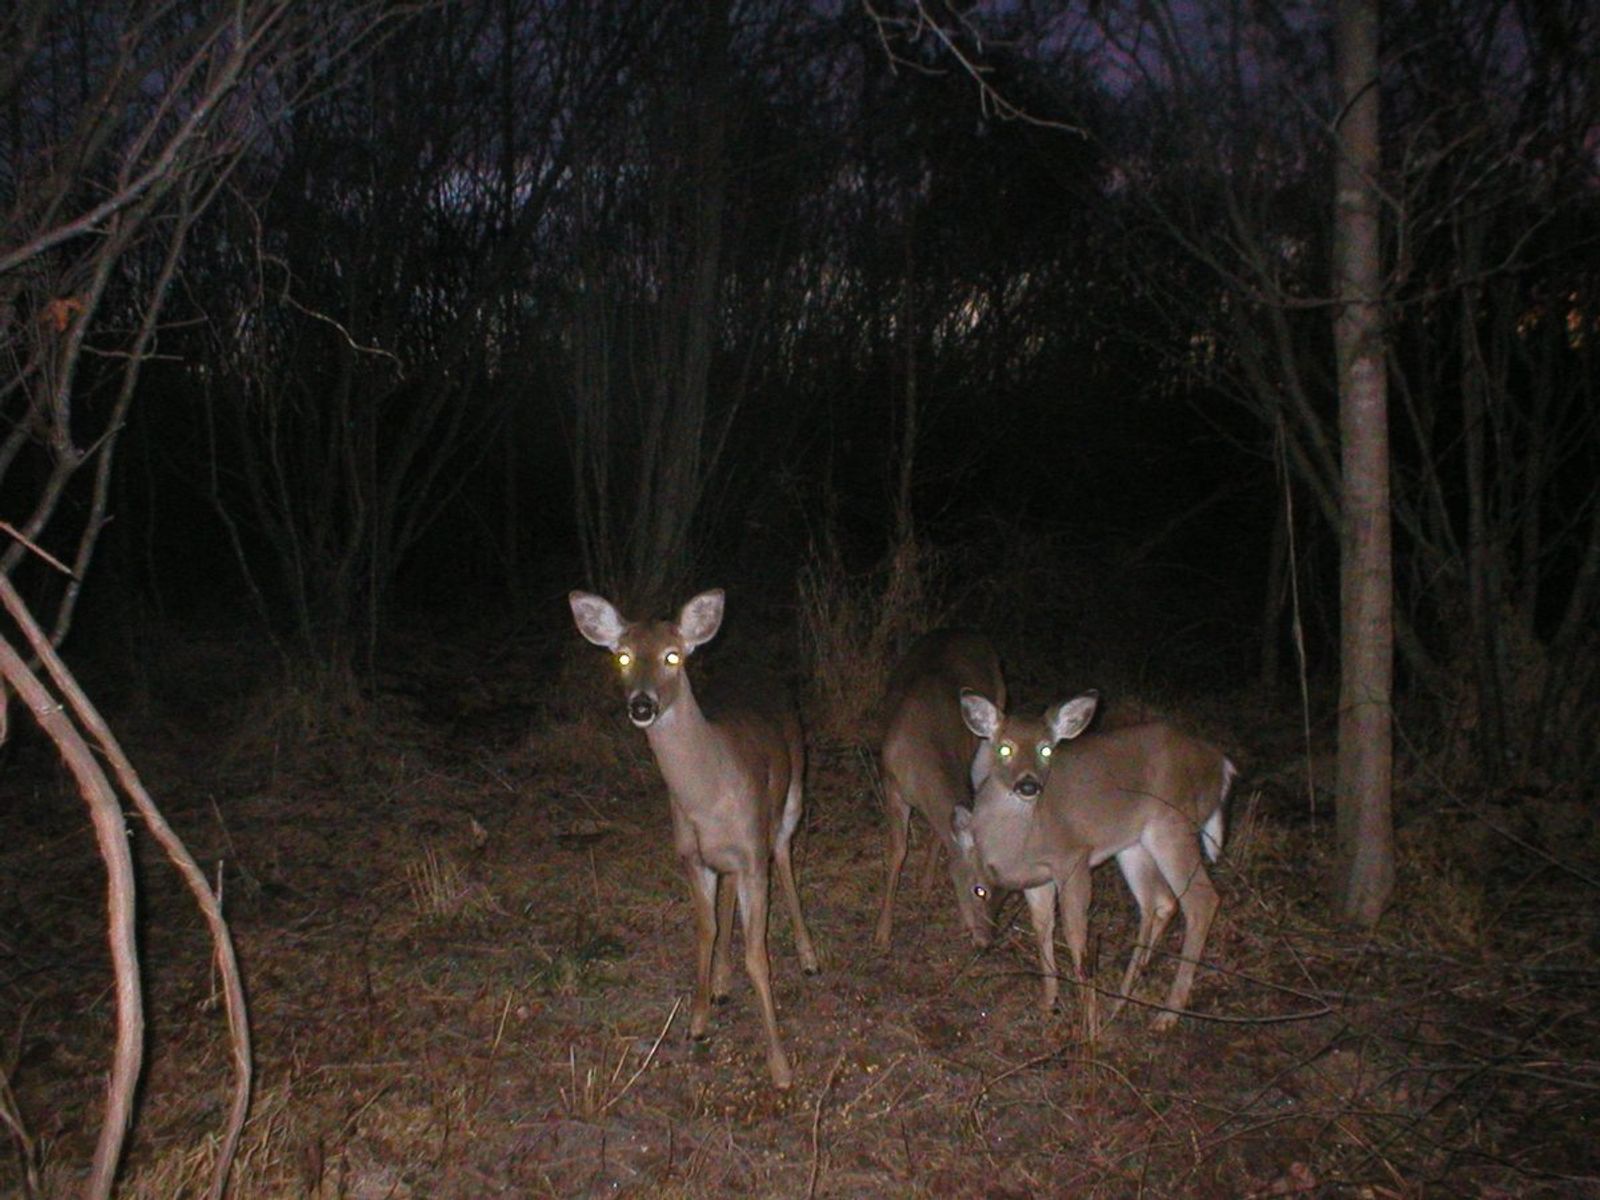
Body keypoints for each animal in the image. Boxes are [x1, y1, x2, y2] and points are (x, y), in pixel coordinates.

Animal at [569, 588, 819, 1094]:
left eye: (673, 655)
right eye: (623, 655)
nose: (642, 705)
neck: (708, 794)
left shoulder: (752, 855)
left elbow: (758, 956)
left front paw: (780, 1066)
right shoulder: (691, 857)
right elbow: (707, 931)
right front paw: (699, 1019)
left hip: (791, 794)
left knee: (785, 855)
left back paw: (808, 957)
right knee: (729, 896)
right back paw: (721, 983)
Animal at [870, 633, 1004, 953]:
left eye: (1004, 892)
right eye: (979, 890)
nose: (986, 942)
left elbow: (938, 833)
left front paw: (926, 883)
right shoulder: (891, 785)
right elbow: (898, 851)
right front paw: (882, 933)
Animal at [947, 691, 1235, 1036]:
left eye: (1046, 749)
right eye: (1005, 747)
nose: (1028, 785)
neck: (1022, 839)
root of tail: (1223, 766)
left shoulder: (1073, 859)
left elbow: (1075, 934)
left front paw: (1088, 1021)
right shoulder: (1038, 879)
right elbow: (1043, 928)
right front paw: (1048, 1003)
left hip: (1173, 824)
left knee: (1202, 900)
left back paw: (1166, 1014)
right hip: (1132, 845)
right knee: (1159, 901)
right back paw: (1122, 1001)